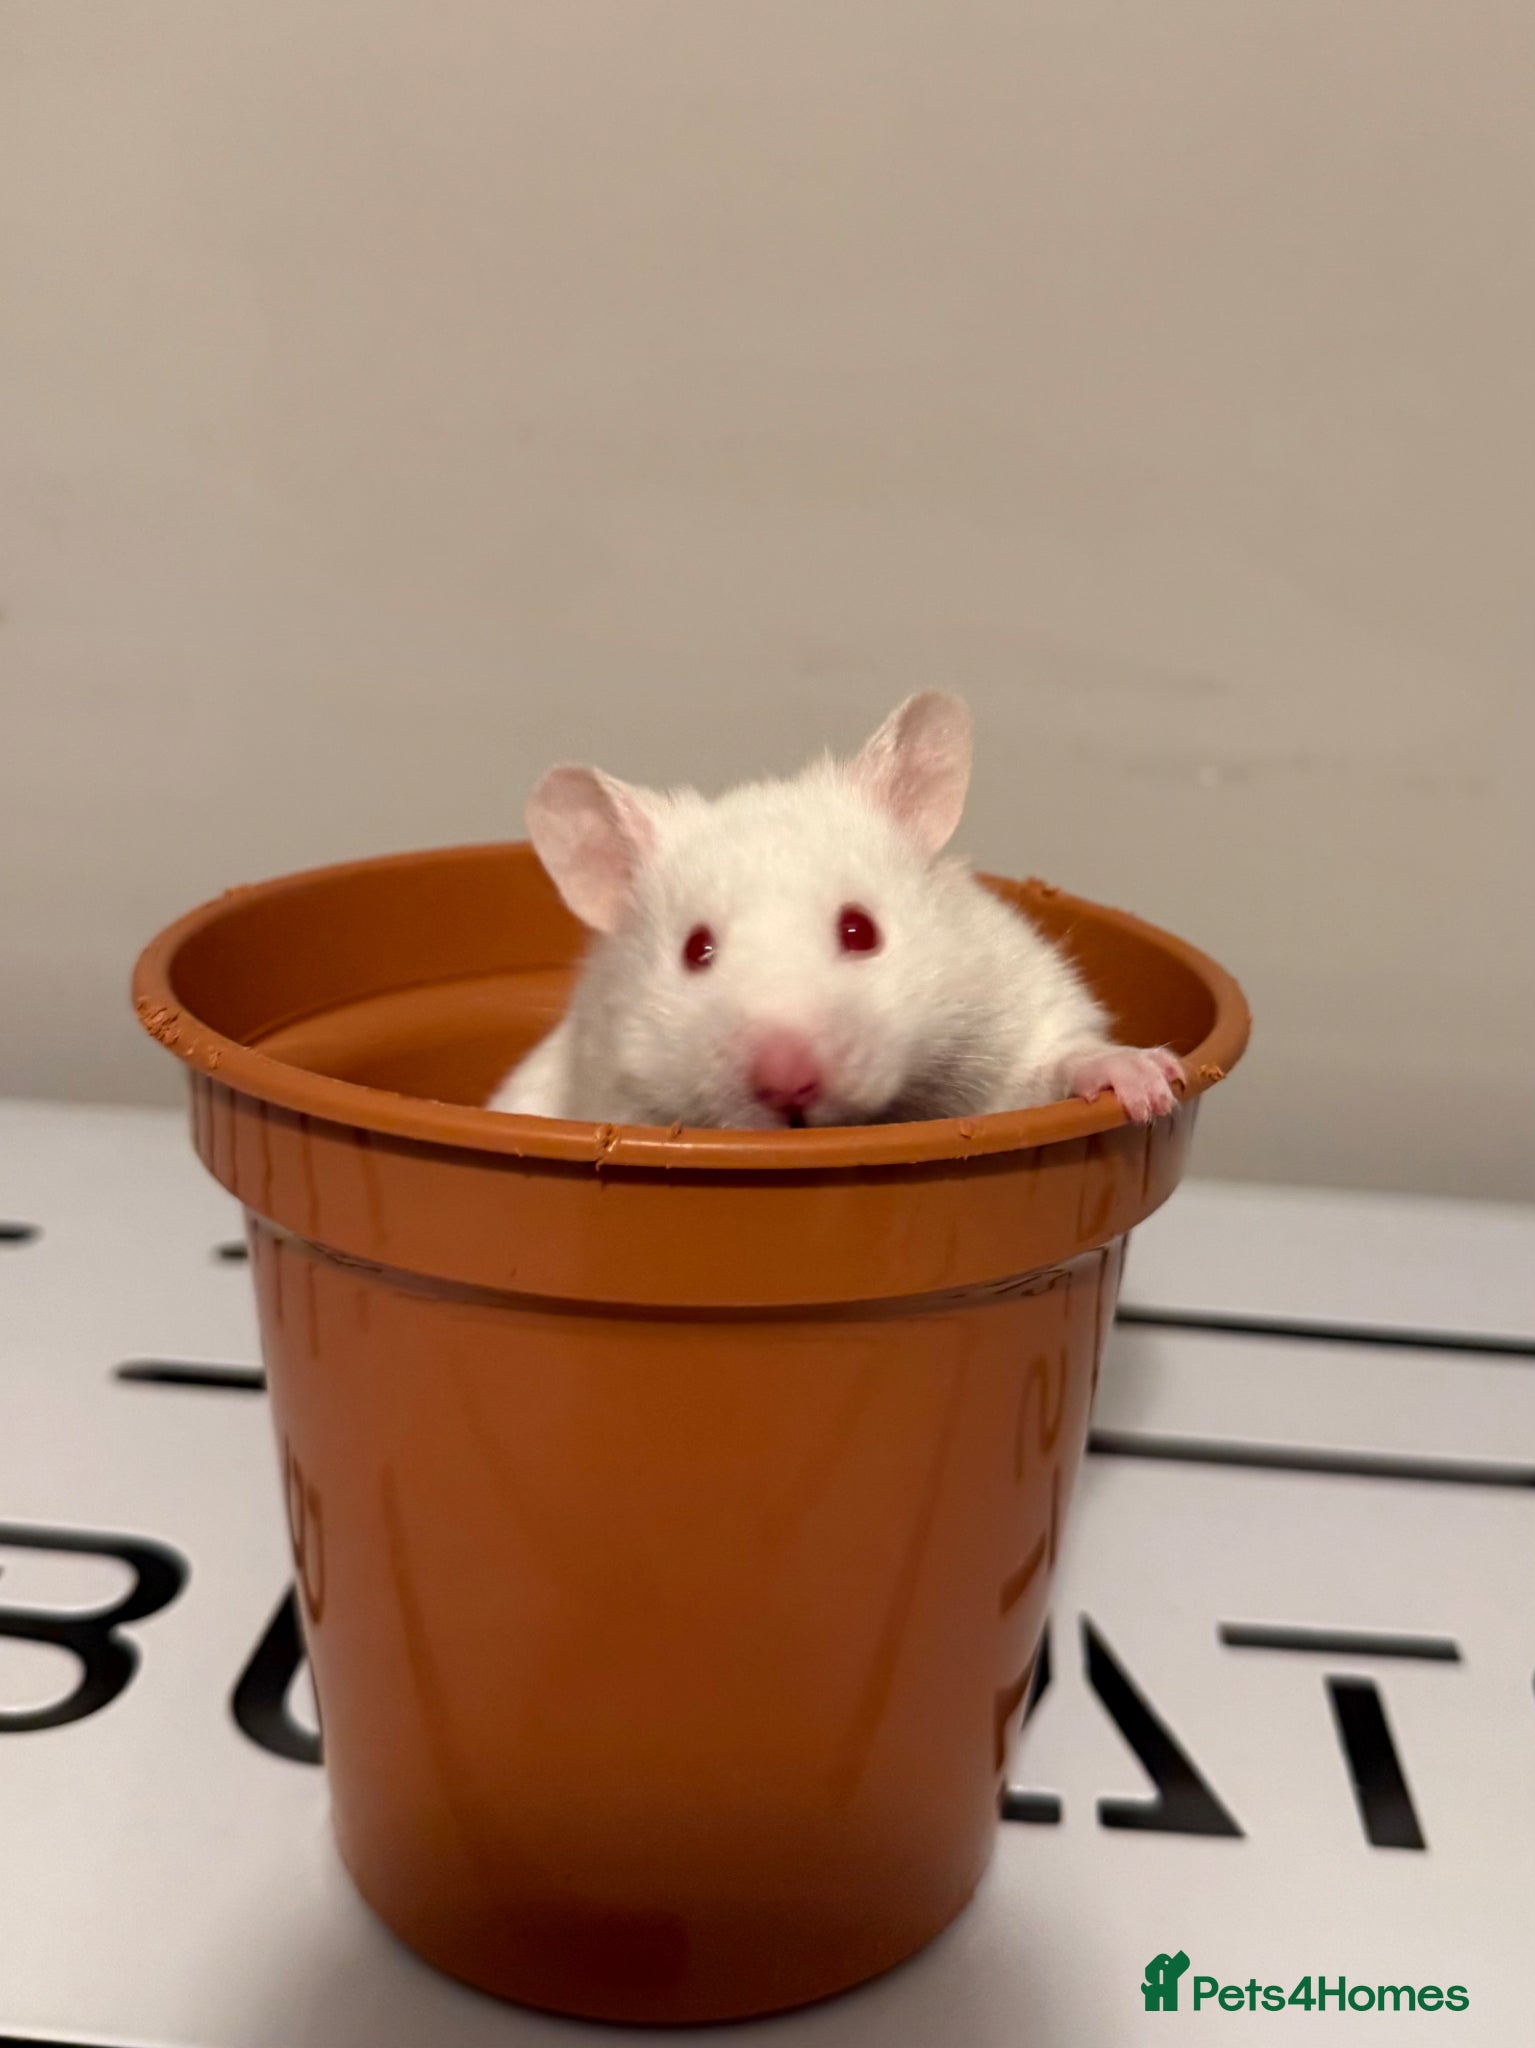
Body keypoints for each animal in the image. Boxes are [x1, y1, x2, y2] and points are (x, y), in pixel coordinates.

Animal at [488, 692, 1183, 1130]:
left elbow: (1059, 1060)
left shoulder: (1018, 1010)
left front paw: (1151, 1087)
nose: (787, 1083)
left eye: (860, 929)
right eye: (696, 950)